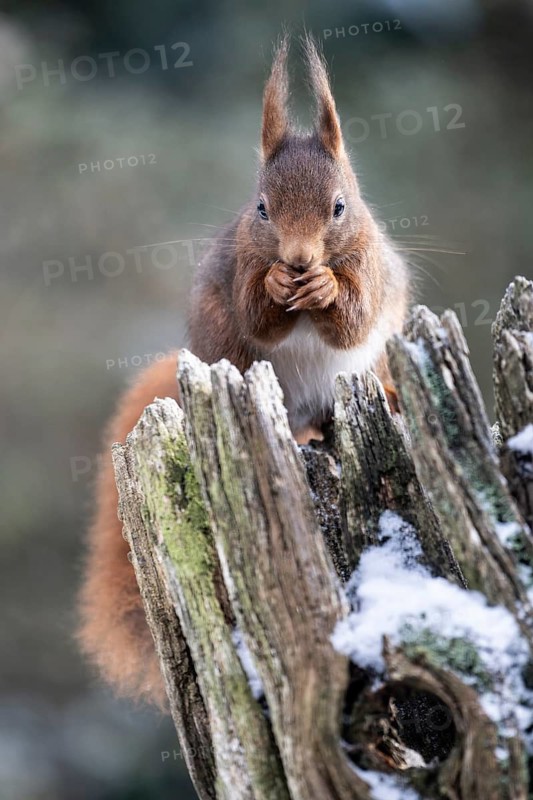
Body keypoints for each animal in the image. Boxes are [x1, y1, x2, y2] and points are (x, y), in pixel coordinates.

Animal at [78, 35, 410, 707]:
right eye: (261, 208)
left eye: (340, 207)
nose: (299, 259)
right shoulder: (240, 272)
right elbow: (259, 314)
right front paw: (280, 285)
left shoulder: (371, 271)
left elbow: (353, 318)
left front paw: (326, 287)